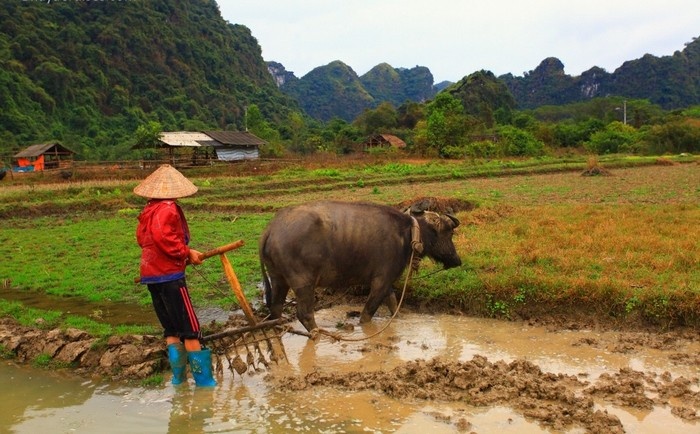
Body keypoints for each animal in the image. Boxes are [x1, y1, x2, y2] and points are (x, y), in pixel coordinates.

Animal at [260, 200, 462, 332]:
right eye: (449, 232)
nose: (457, 261)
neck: (407, 233)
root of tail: (272, 228)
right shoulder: (381, 281)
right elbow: (368, 312)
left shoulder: (387, 282)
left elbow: (393, 303)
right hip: (303, 283)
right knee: (304, 313)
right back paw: (318, 335)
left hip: (278, 279)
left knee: (276, 309)